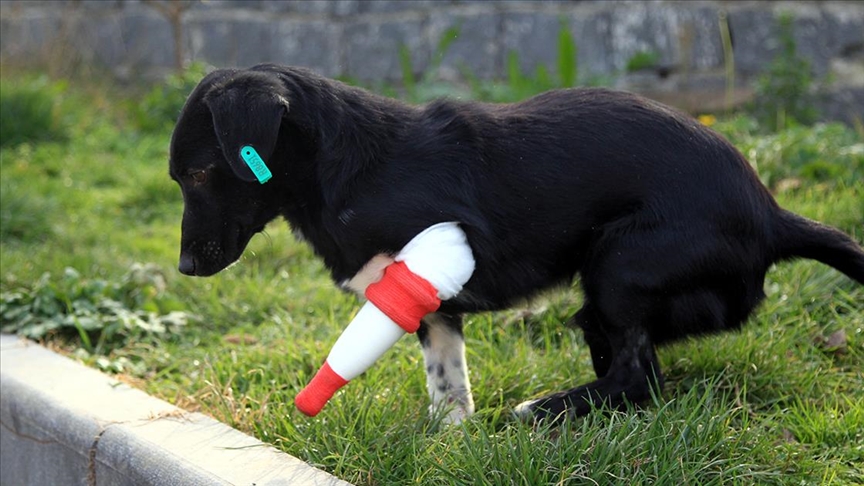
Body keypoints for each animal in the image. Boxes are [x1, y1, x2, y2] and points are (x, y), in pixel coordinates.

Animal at [169, 63, 864, 422]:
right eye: (181, 177)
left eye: (200, 173)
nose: (183, 267)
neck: (351, 172)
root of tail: (771, 215)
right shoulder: (429, 307)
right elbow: (447, 381)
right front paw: (448, 441)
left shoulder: (432, 261)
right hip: (609, 291)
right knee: (626, 363)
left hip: (619, 263)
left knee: (639, 376)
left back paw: (541, 410)